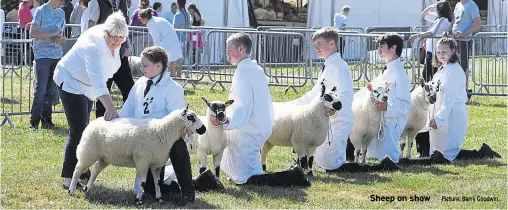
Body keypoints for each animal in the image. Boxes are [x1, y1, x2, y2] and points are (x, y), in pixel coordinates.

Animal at [67, 106, 206, 204]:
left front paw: (159, 198)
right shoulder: (142, 161)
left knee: (95, 171)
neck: (162, 131)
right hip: (88, 151)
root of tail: (93, 121)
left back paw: (87, 188)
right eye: (190, 117)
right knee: (77, 169)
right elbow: (143, 182)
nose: (204, 129)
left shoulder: (156, 165)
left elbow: (157, 182)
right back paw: (71, 190)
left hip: (104, 157)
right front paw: (139, 200)